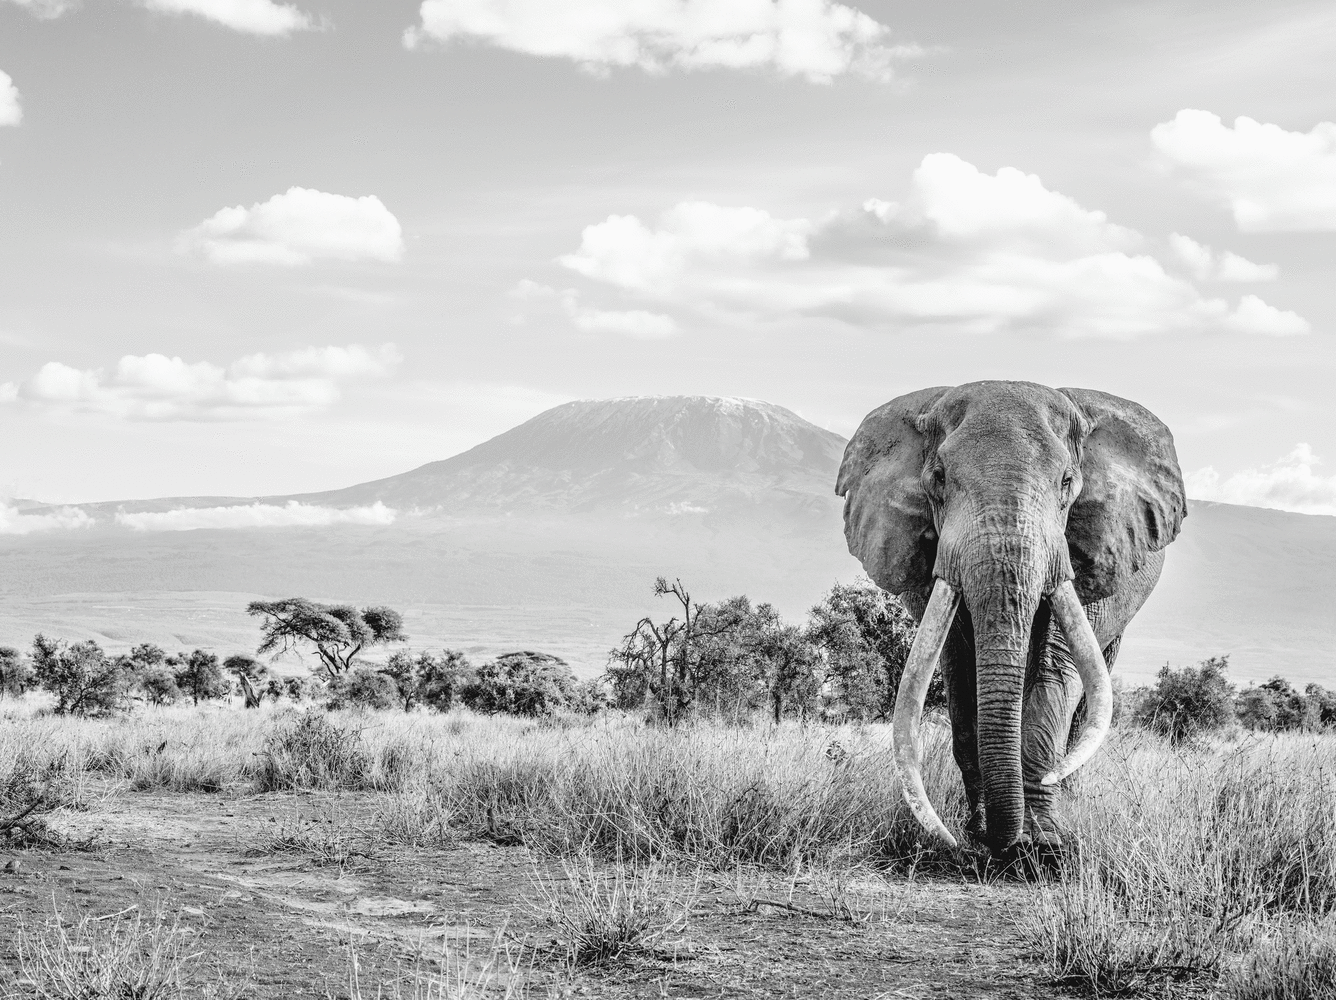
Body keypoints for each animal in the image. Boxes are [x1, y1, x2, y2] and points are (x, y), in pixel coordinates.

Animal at [833, 379, 1191, 854]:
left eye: (1067, 482)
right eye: (939, 479)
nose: (982, 843)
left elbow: (1056, 669)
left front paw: (1043, 844)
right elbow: (960, 671)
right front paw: (980, 837)